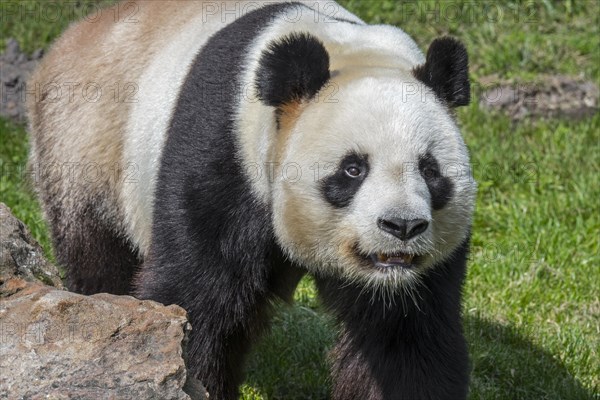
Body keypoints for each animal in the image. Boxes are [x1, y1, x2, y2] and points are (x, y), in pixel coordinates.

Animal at [28, 1, 478, 398]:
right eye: (353, 169)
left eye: (430, 170)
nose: (402, 226)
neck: (348, 52)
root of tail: (75, 33)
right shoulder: (224, 153)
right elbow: (199, 297)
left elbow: (406, 337)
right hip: (89, 140)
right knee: (99, 253)